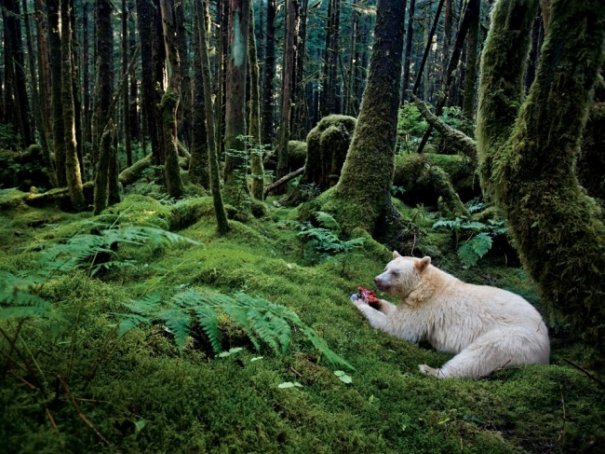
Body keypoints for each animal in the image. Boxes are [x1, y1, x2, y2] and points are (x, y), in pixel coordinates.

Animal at [352, 254, 548, 378]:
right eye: (386, 267)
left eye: (395, 272)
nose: (376, 279)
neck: (426, 285)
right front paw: (374, 300)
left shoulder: (427, 307)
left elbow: (400, 328)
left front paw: (360, 302)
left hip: (515, 339)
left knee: (481, 355)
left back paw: (431, 370)